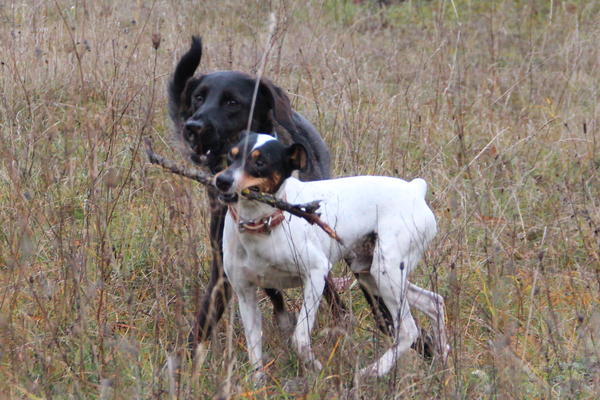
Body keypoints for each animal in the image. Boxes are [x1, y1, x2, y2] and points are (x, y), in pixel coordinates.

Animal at [213, 133, 448, 380]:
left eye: (260, 162)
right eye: (232, 155)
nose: (222, 180)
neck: (261, 227)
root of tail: (415, 189)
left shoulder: (316, 274)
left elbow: (300, 339)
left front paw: (316, 368)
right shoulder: (245, 293)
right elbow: (254, 352)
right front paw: (259, 383)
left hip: (385, 273)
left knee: (408, 331)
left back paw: (372, 371)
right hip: (372, 276)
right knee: (433, 302)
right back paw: (443, 362)